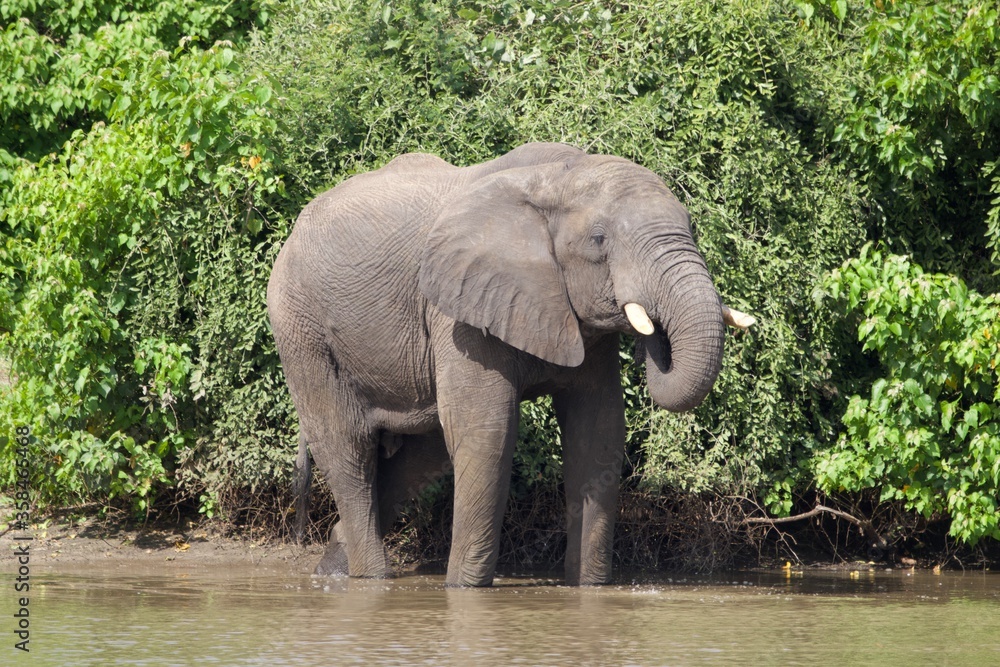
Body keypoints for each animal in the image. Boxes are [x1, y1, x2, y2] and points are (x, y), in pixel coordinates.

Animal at [267, 142, 753, 587]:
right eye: (599, 240)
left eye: (692, 227)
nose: (654, 333)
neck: (557, 176)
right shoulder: (459, 310)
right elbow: (488, 430)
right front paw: (463, 590)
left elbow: (599, 430)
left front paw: (589, 590)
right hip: (300, 327)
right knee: (347, 446)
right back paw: (369, 579)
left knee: (422, 453)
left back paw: (332, 568)